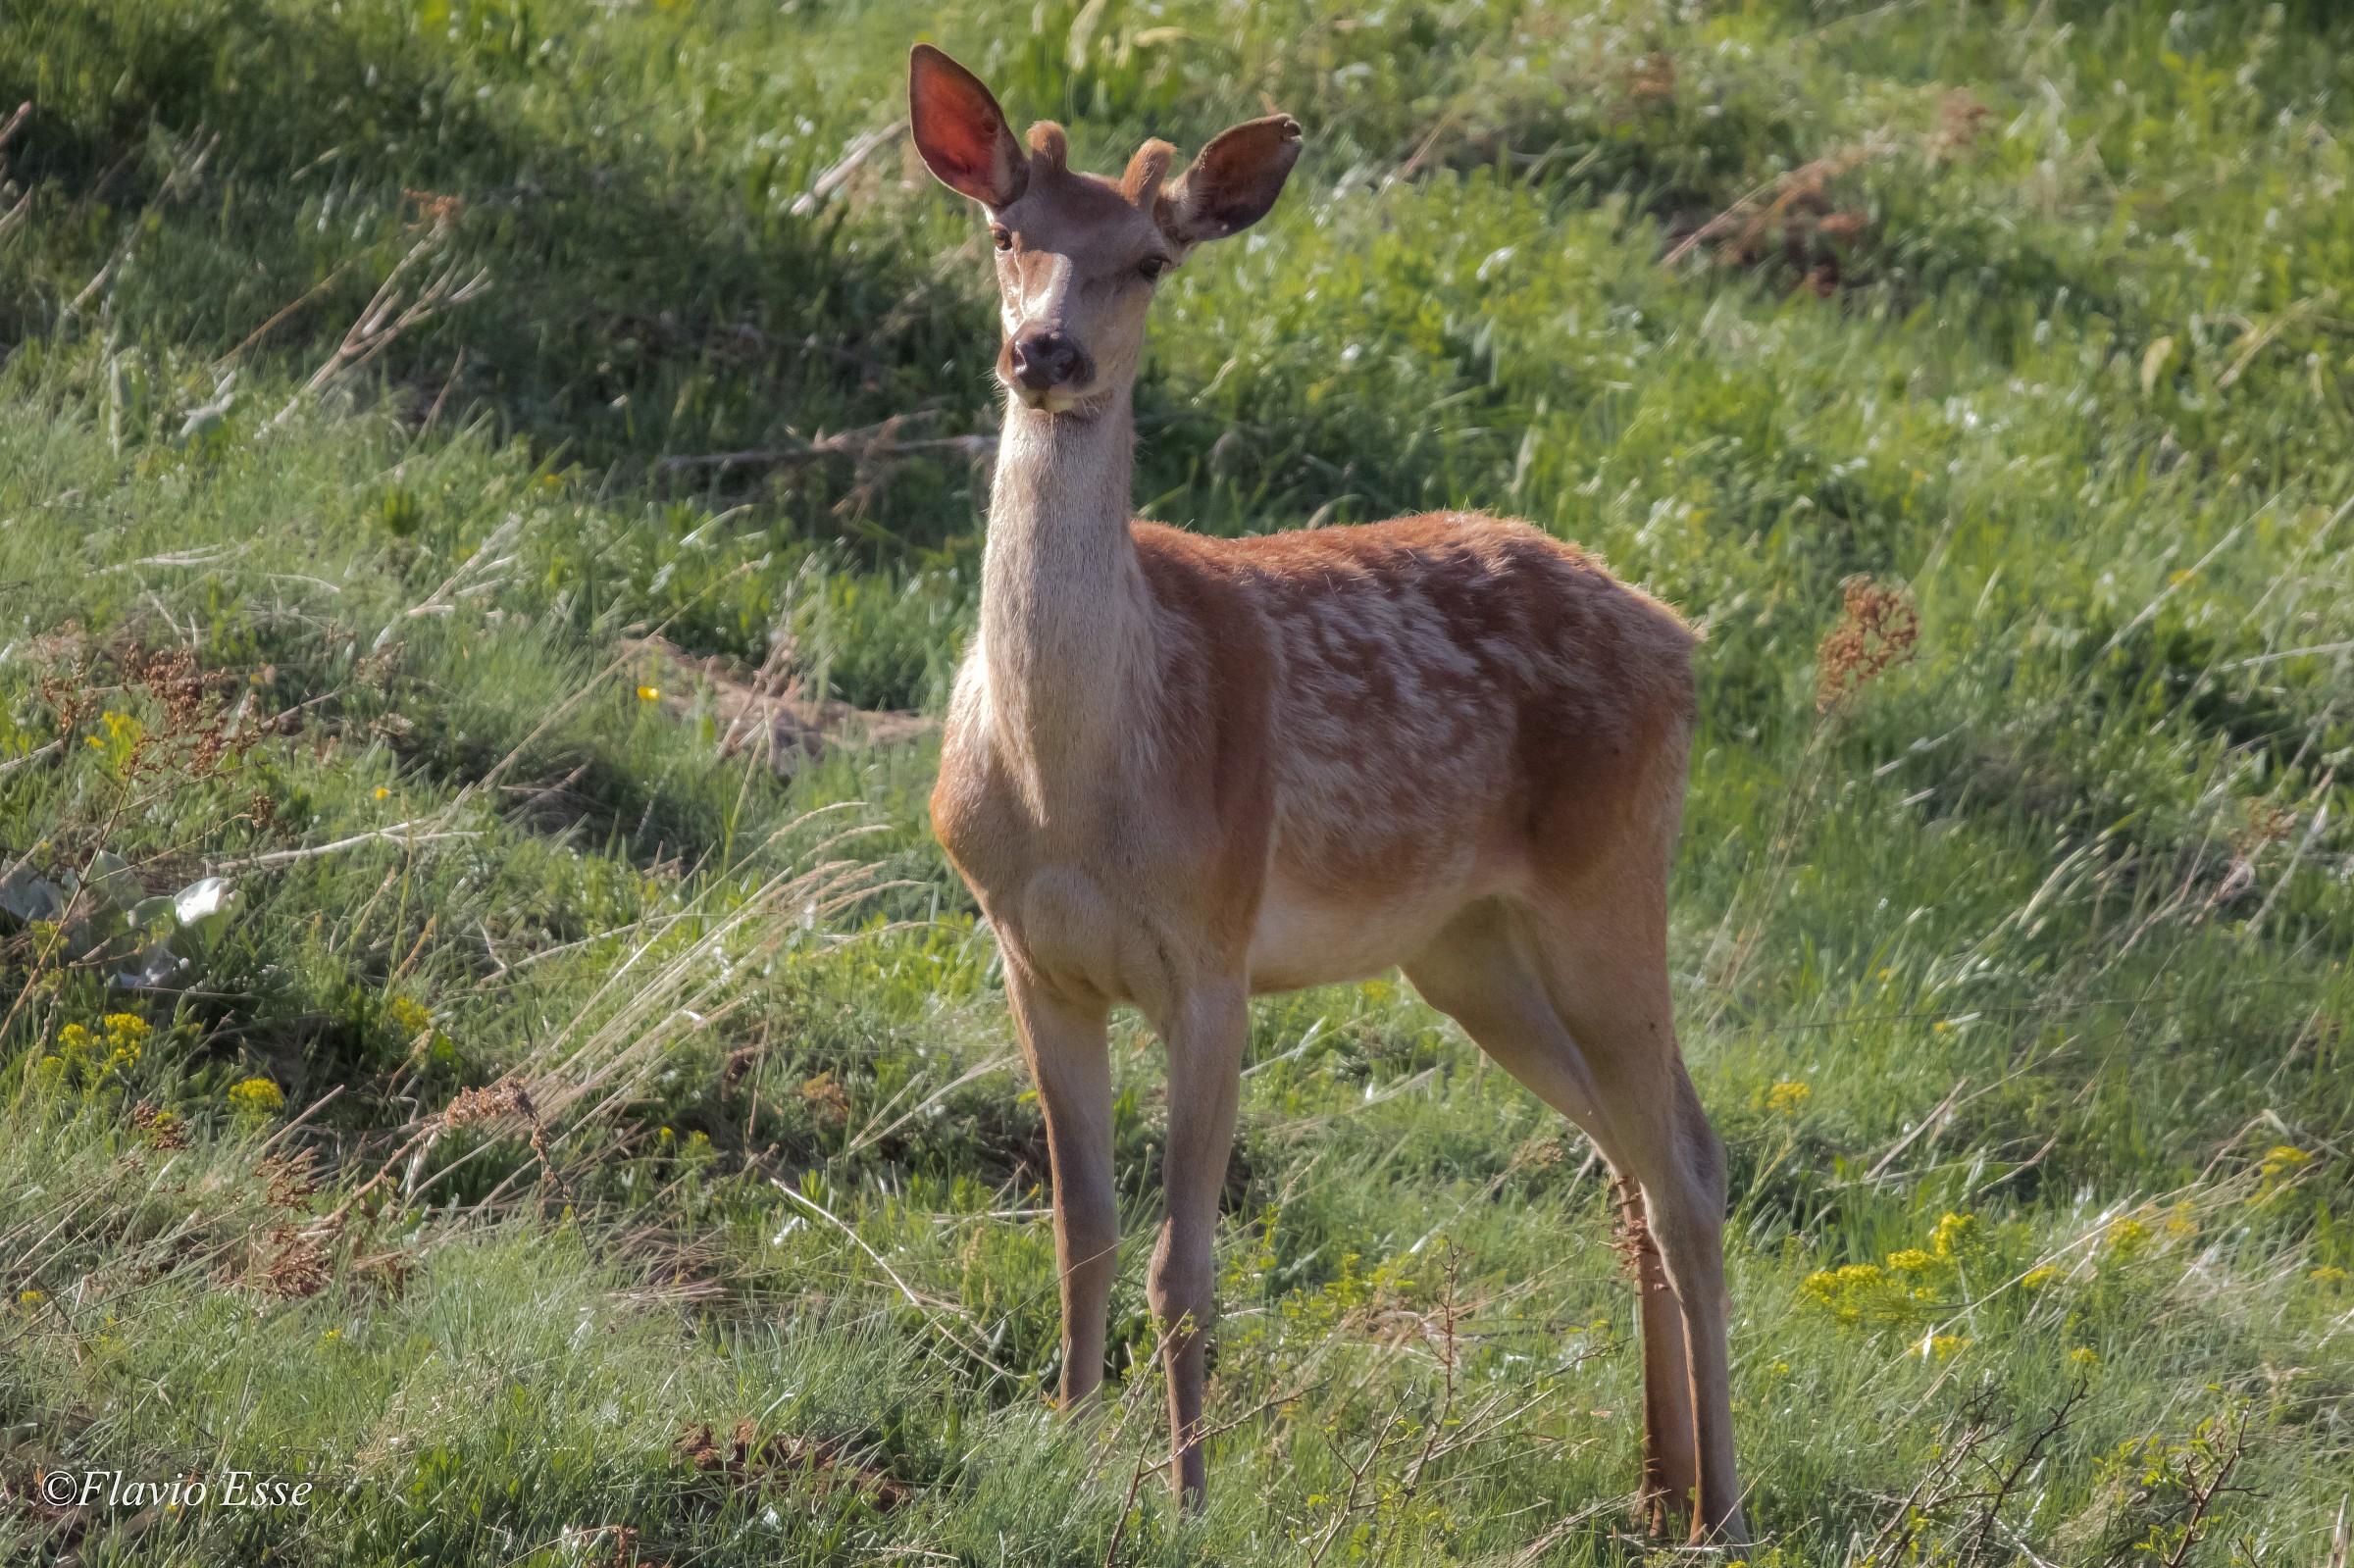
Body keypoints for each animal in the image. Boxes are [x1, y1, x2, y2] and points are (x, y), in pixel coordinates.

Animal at [908, 42, 1746, 1544]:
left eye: (1149, 261)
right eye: (1007, 235)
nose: (1043, 353)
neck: (1073, 791)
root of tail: (1682, 637)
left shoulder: (1213, 949)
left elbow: (1186, 1265)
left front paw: (1186, 1498)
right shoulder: (1028, 951)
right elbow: (1082, 1231)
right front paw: (1066, 1442)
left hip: (1613, 878)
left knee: (1692, 1163)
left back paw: (1728, 1513)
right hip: (1467, 952)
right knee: (1630, 1159)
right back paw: (1662, 1488)